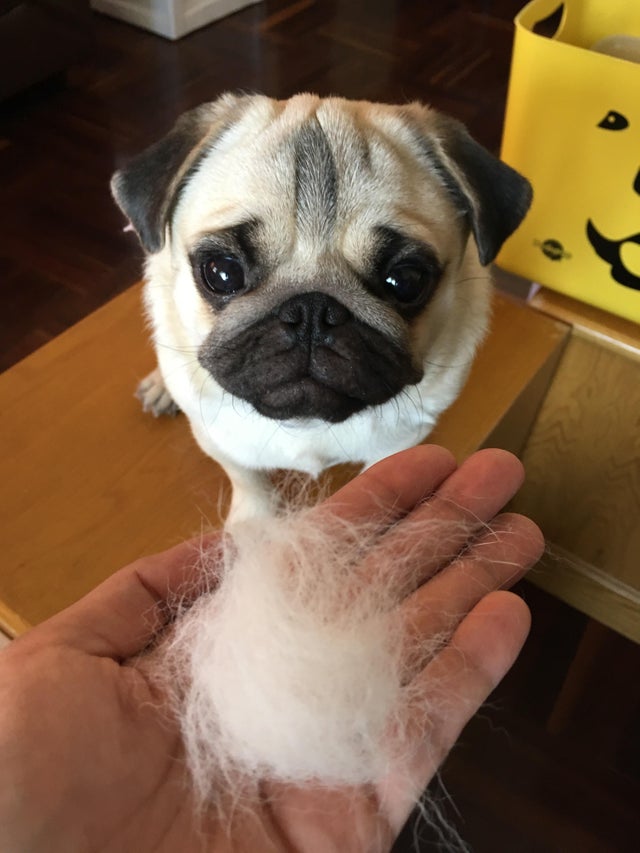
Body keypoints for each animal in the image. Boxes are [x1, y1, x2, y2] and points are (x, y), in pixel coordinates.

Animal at [112, 93, 532, 520]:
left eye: (406, 281)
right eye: (222, 272)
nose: (311, 311)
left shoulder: (401, 441)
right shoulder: (217, 438)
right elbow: (247, 479)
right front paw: (254, 524)